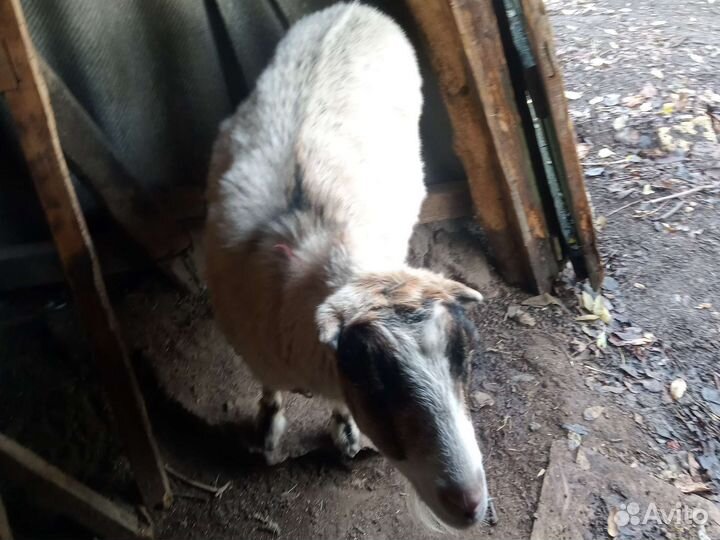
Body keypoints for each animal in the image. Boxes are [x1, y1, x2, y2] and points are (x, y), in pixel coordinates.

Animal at [204, 2, 488, 528]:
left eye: (465, 352)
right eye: (373, 375)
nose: (471, 505)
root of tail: (354, 8)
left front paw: (346, 433)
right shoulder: (257, 351)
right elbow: (269, 389)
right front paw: (268, 431)